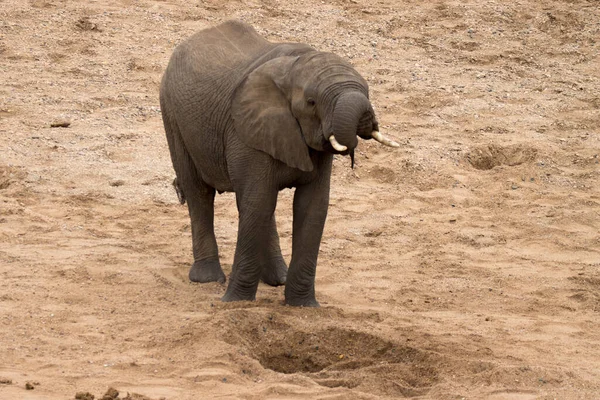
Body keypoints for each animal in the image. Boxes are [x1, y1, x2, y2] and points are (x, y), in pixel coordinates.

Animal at [161, 20, 398, 306]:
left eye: (367, 91)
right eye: (311, 102)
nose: (364, 121)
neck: (295, 66)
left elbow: (312, 207)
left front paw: (303, 306)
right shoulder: (248, 128)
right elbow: (259, 201)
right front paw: (235, 303)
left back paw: (277, 279)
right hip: (172, 115)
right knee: (200, 192)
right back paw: (207, 279)